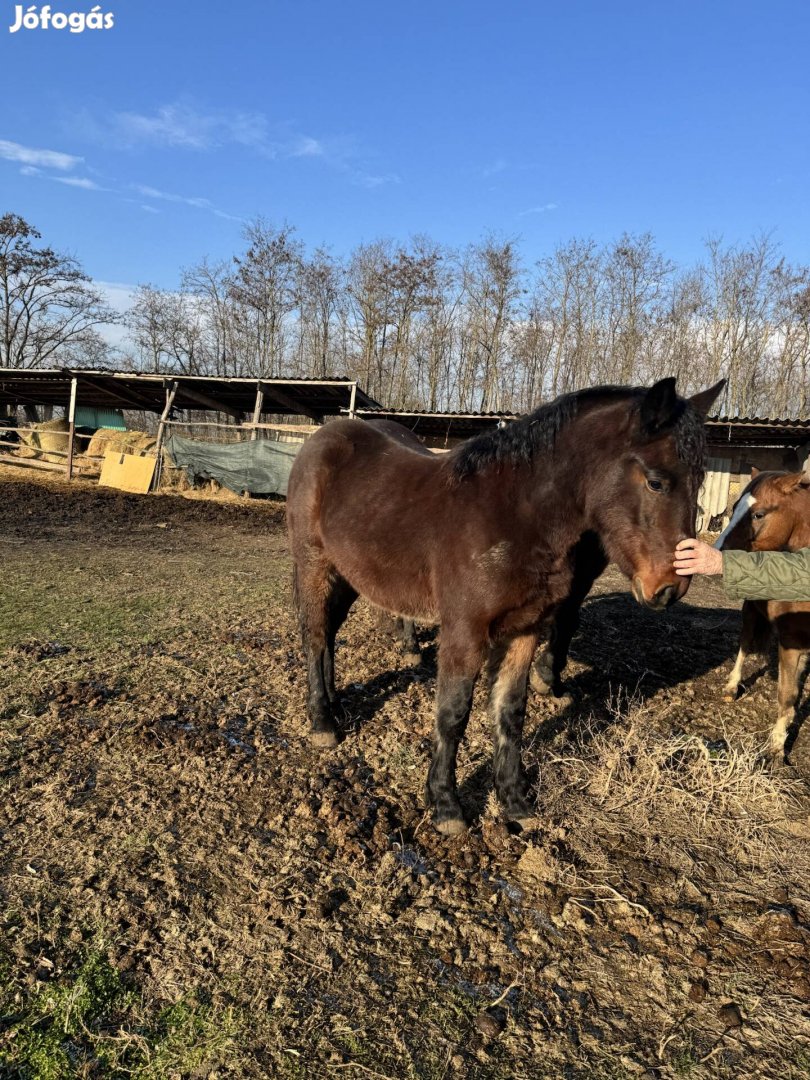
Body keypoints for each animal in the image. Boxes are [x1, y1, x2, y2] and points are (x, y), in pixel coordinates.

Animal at [289, 375, 725, 829]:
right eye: (656, 481)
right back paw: (323, 722)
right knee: (314, 636)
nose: (670, 588)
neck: (515, 517)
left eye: (699, 480)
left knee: (329, 633)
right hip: (314, 564)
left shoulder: (525, 629)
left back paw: (336, 704)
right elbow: (453, 713)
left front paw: (515, 799)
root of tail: (325, 436)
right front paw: (446, 804)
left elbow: (511, 711)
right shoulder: (464, 631)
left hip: (349, 573)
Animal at [721, 466, 807, 760]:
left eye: (758, 515)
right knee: (744, 645)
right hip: (750, 613)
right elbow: (786, 694)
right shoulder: (791, 642)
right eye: (733, 507)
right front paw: (777, 746)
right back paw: (731, 687)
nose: (718, 550)